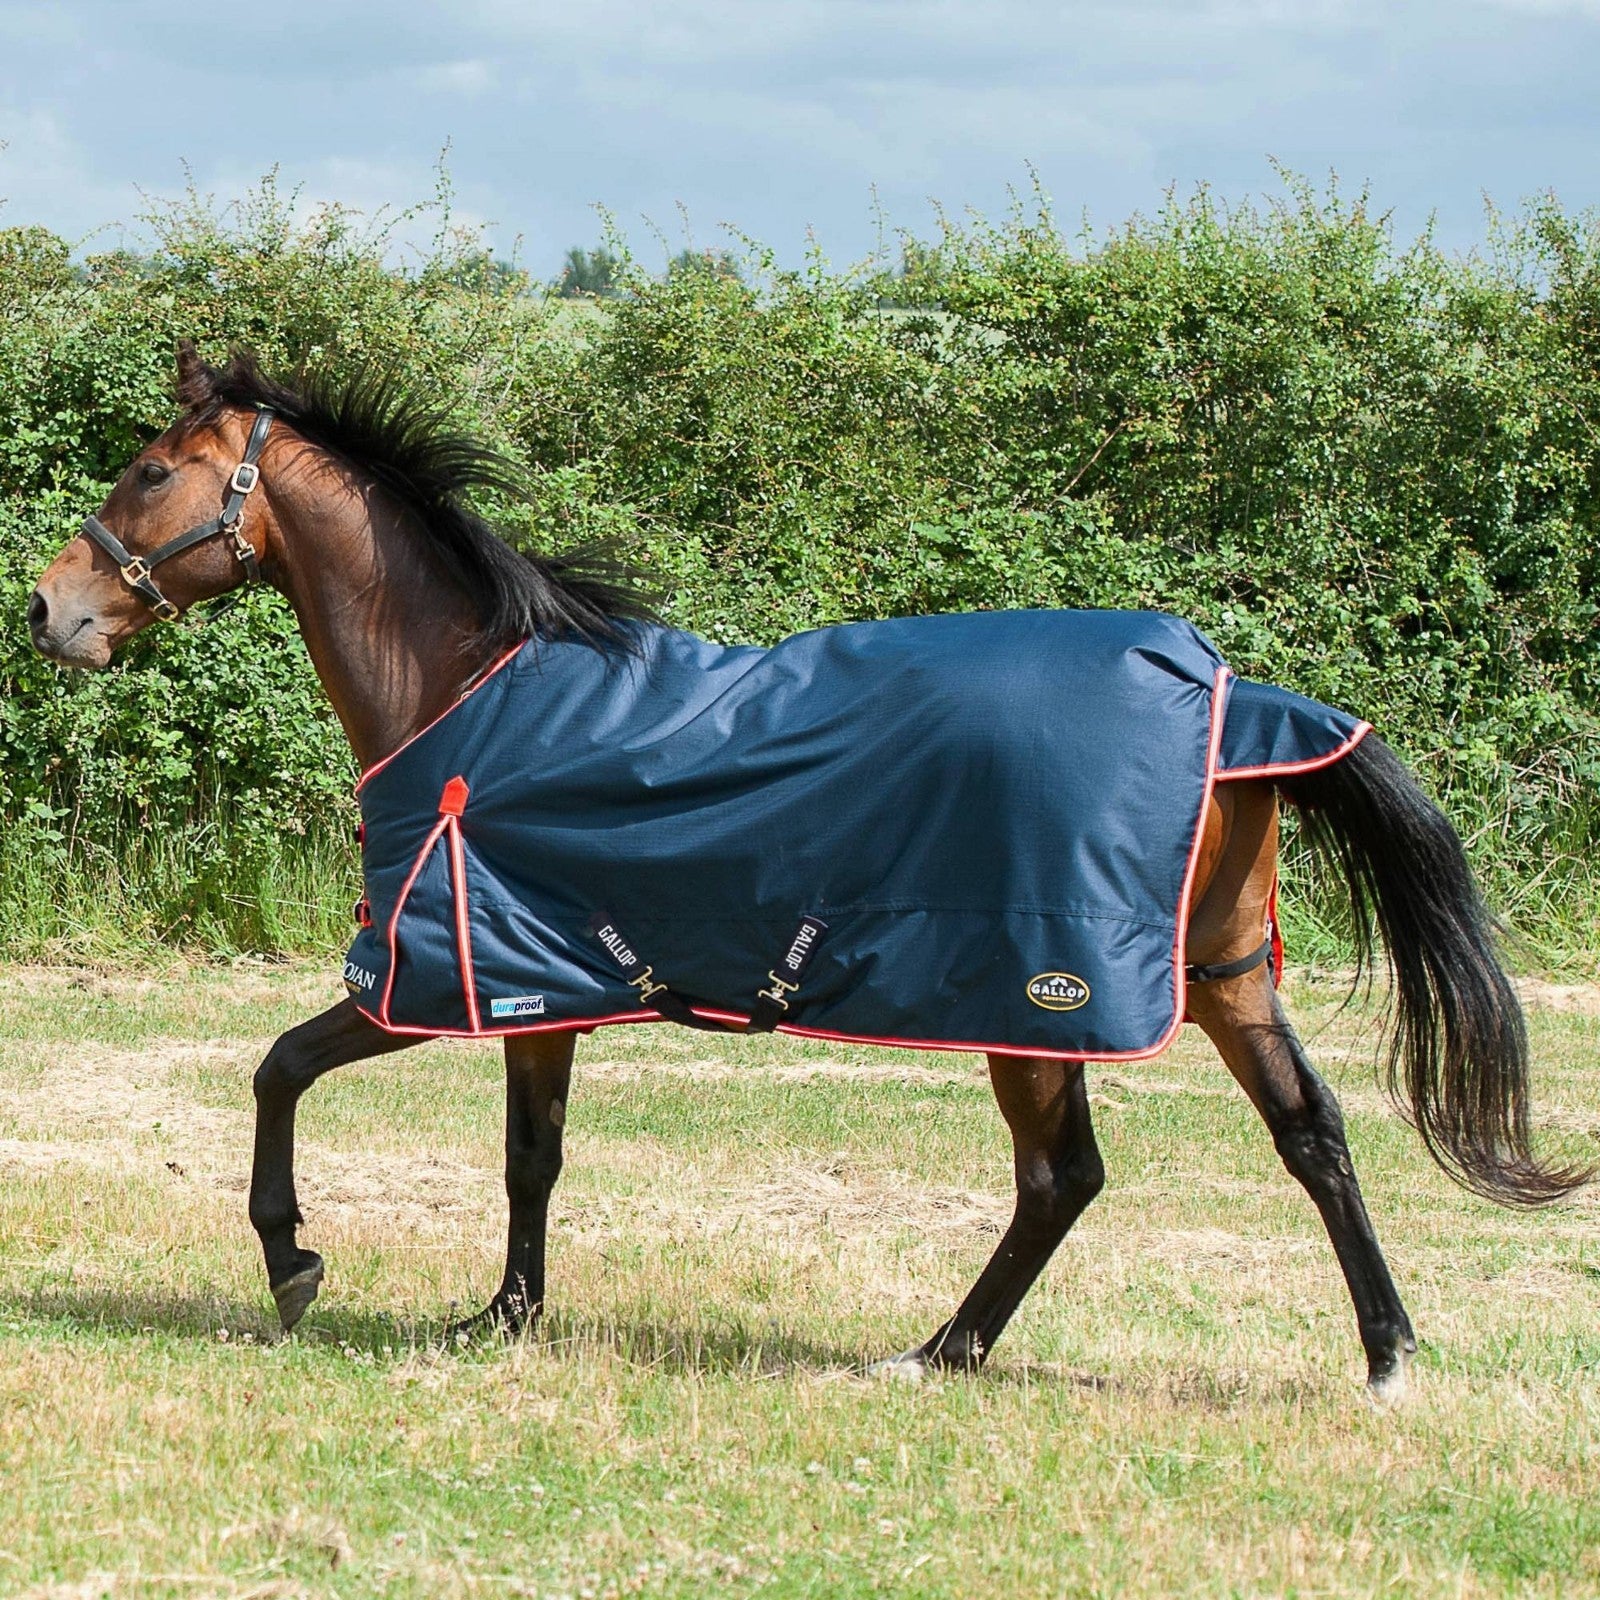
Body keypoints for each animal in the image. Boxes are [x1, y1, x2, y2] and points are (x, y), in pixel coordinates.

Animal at [27, 344, 1586, 1400]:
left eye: (150, 470)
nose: (50, 609)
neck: (469, 691)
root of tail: (1236, 695)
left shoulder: (434, 971)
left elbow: (279, 1069)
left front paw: (293, 1263)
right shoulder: (538, 982)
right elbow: (532, 1156)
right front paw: (504, 1317)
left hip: (1037, 991)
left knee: (1064, 1174)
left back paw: (942, 1350)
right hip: (1216, 975)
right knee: (1306, 1135)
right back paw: (1380, 1355)